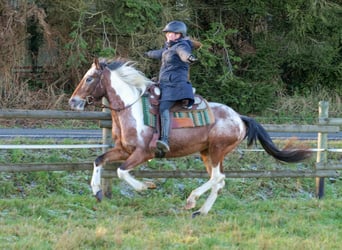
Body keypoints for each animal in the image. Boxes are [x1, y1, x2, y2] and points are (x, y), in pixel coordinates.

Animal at [68, 57, 312, 217]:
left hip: (216, 151)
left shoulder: (143, 153)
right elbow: (99, 160)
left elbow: (121, 171)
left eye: (89, 79)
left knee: (217, 178)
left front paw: (146, 186)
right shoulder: (122, 150)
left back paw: (191, 201)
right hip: (207, 153)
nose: (73, 102)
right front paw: (97, 191)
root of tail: (239, 118)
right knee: (219, 181)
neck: (132, 108)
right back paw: (201, 211)